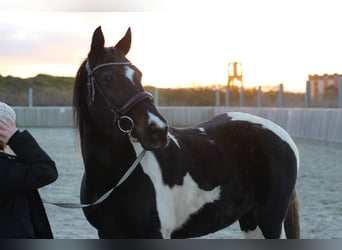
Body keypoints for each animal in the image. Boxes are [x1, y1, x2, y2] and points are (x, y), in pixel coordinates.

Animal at [73, 26, 300, 239]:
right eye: (108, 77)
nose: (157, 130)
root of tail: (282, 134)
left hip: (270, 220)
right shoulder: (106, 233)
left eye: (139, 75)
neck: (115, 175)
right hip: (249, 219)